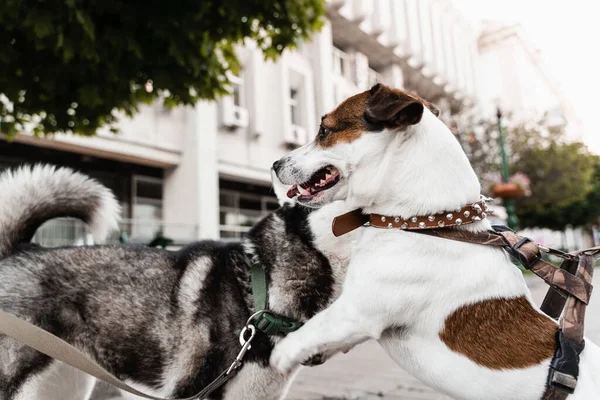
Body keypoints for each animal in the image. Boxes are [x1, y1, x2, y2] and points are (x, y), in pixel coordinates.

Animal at [270, 84, 600, 400]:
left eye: (324, 131)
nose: (275, 163)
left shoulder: (357, 310)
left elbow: (311, 329)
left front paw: (280, 355)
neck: (427, 223)